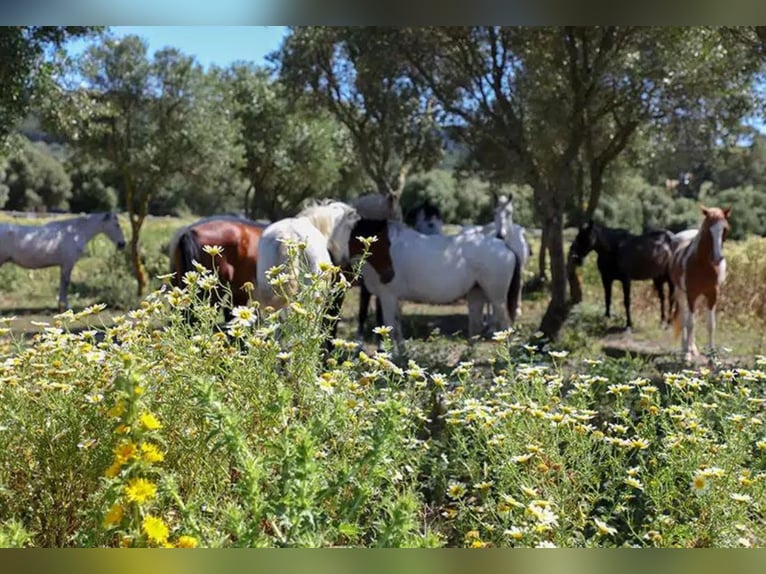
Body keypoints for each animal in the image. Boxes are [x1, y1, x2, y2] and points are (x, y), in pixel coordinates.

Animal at [360, 220, 520, 354]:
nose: (388, 274)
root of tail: (505, 246)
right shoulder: (395, 298)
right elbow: (397, 324)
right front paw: (402, 353)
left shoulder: (387, 296)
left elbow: (390, 327)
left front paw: (392, 356)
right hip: (476, 293)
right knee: (476, 325)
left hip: (496, 297)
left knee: (504, 323)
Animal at [668, 206, 736, 360]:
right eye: (707, 230)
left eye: (725, 229)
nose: (717, 258)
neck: (703, 264)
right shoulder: (691, 294)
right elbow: (690, 323)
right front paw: (687, 355)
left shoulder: (712, 294)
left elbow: (711, 324)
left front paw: (712, 354)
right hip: (681, 293)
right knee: (684, 318)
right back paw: (685, 349)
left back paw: (693, 348)